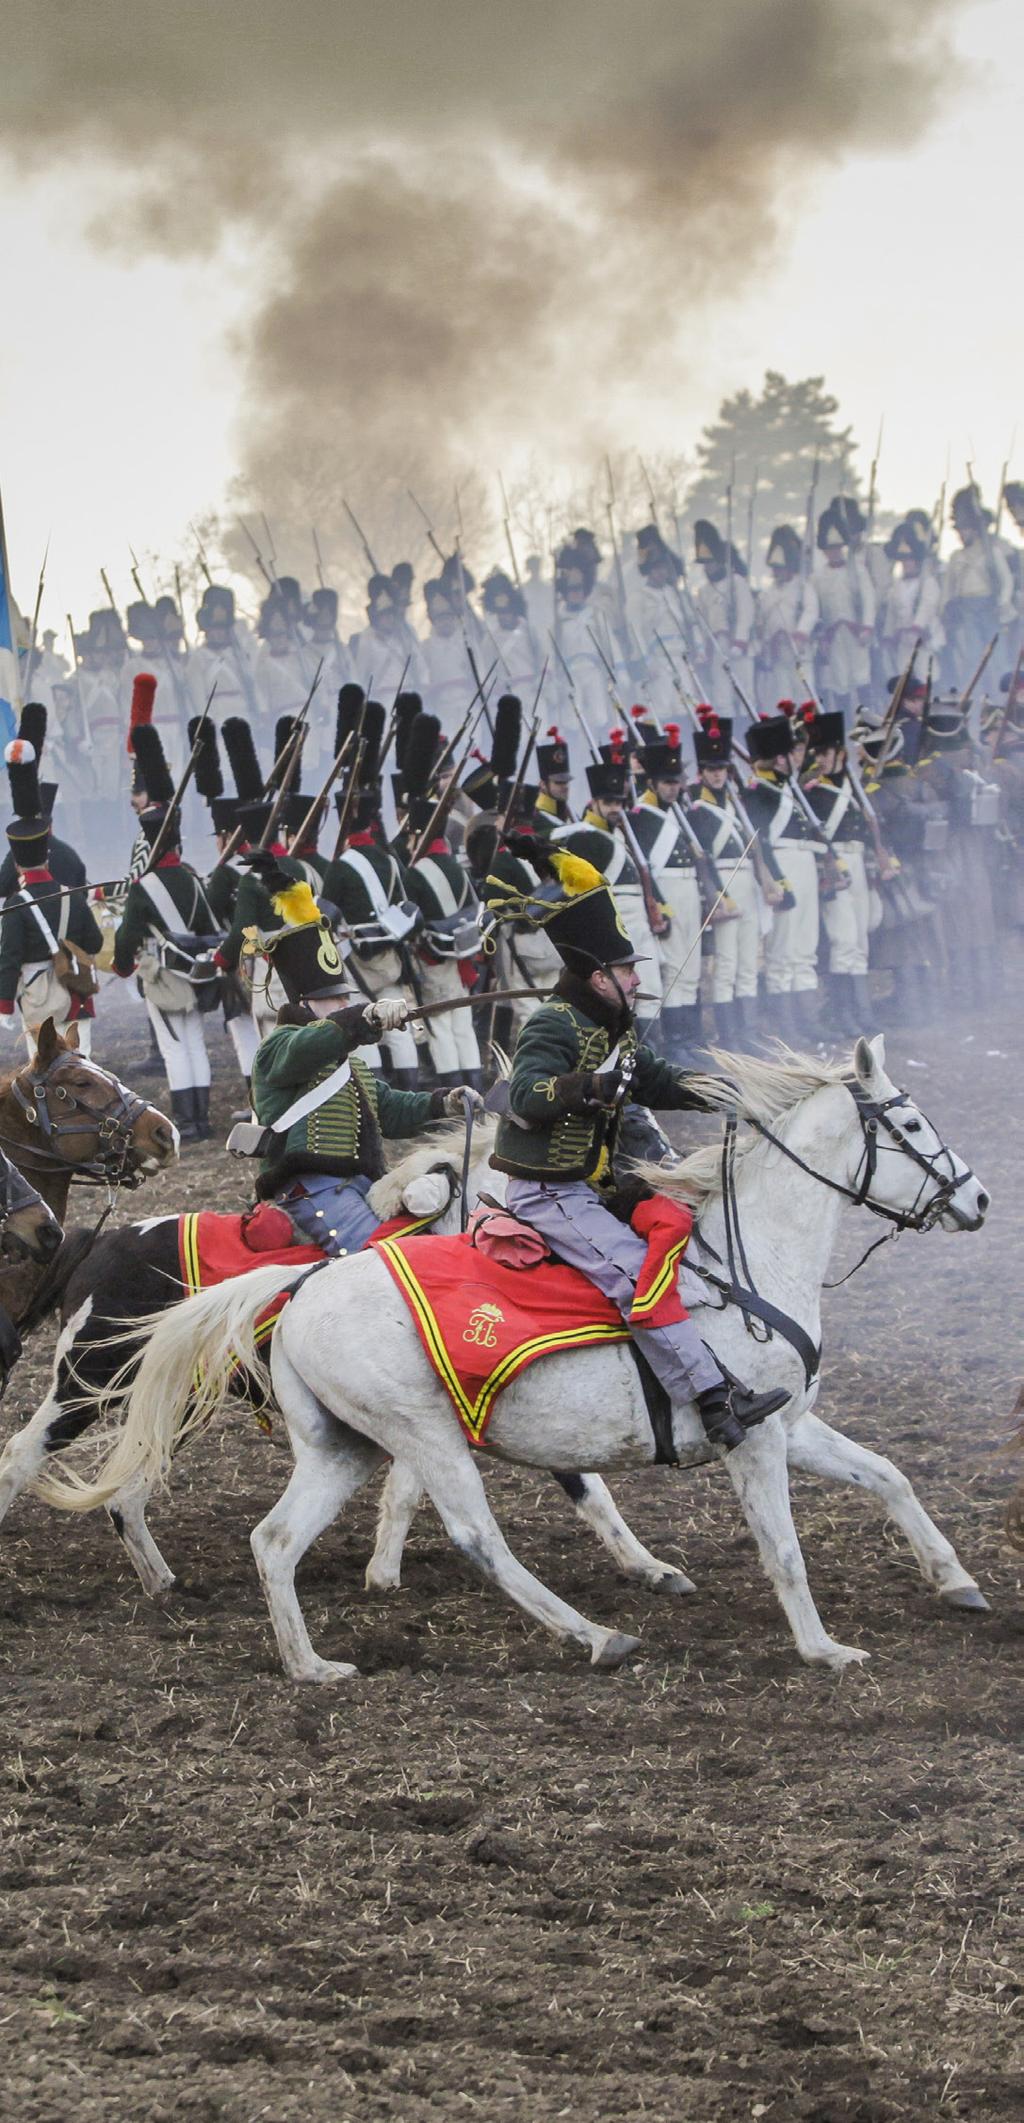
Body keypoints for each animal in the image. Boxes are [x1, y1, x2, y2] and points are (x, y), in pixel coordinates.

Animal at [49, 1036, 990, 1681]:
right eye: (910, 1122)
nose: (978, 1197)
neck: (739, 1259)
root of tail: (303, 1283)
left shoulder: (788, 1424)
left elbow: (890, 1476)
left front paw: (956, 1582)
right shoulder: (754, 1439)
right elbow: (782, 1547)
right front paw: (824, 1647)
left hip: (340, 1447)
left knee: (275, 1540)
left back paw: (310, 1664)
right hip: (417, 1433)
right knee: (477, 1535)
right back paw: (593, 1633)